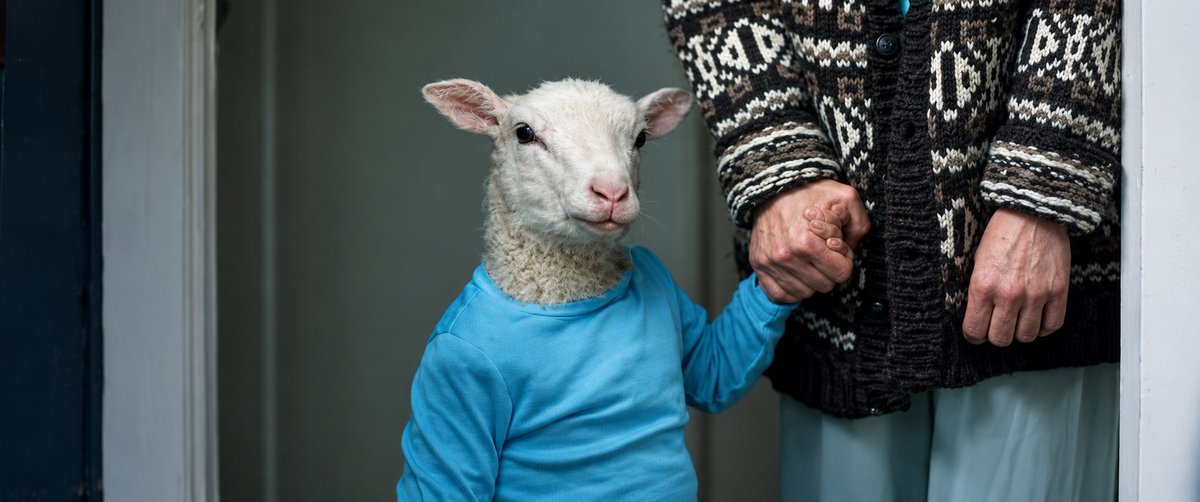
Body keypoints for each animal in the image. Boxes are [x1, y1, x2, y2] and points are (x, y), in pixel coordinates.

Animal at [397, 78, 799, 501]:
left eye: (641, 138)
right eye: (524, 134)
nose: (611, 193)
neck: (565, 298)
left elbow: (714, 370)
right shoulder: (454, 368)